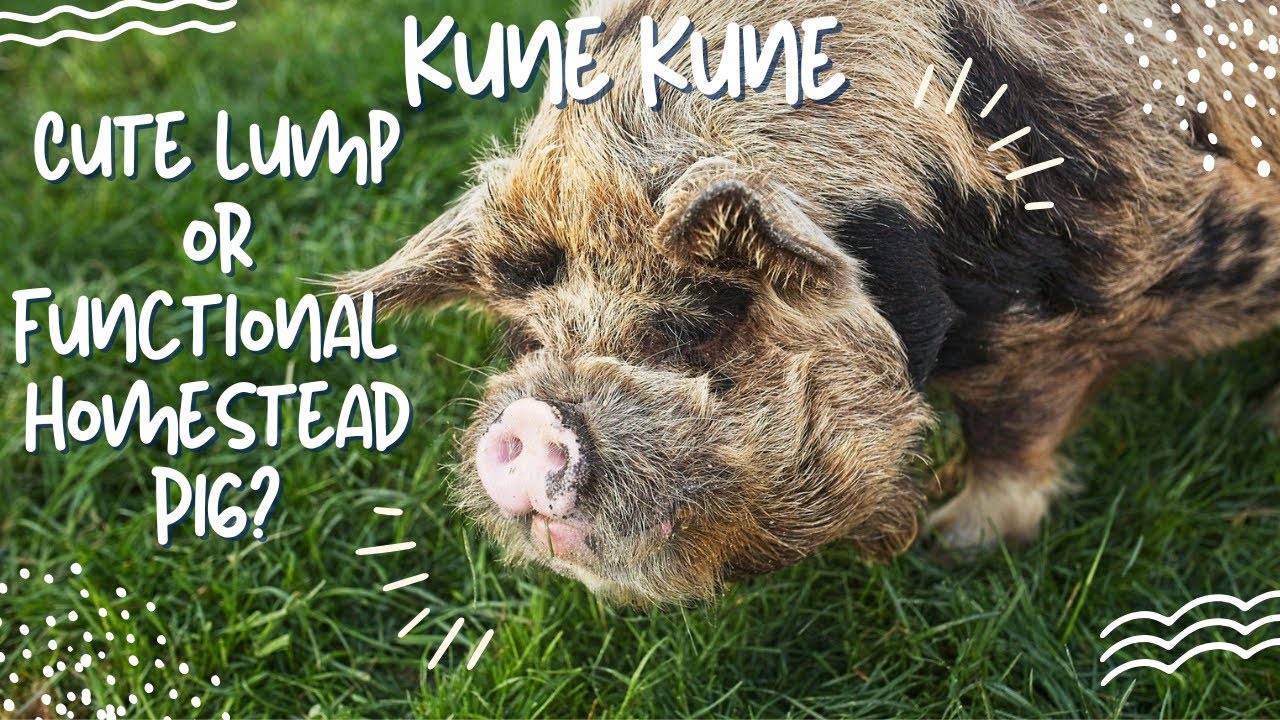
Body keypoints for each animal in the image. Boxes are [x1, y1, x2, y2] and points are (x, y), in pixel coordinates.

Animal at [339, 0, 1280, 604]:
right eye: (524, 338)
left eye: (701, 325)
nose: (530, 422)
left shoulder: (1053, 325)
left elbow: (1013, 436)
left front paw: (956, 544)